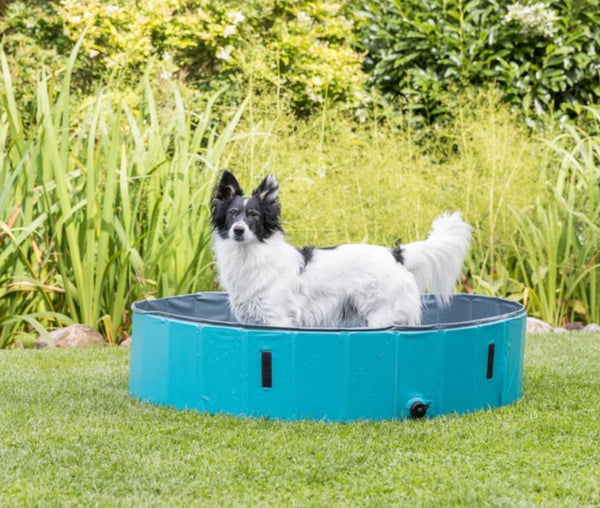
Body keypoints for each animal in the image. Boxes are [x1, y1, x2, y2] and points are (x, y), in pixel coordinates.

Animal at [211, 171, 474, 330]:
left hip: (381, 317)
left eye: (254, 215)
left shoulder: (277, 319)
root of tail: (396, 254)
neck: (251, 255)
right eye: (233, 214)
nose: (238, 230)